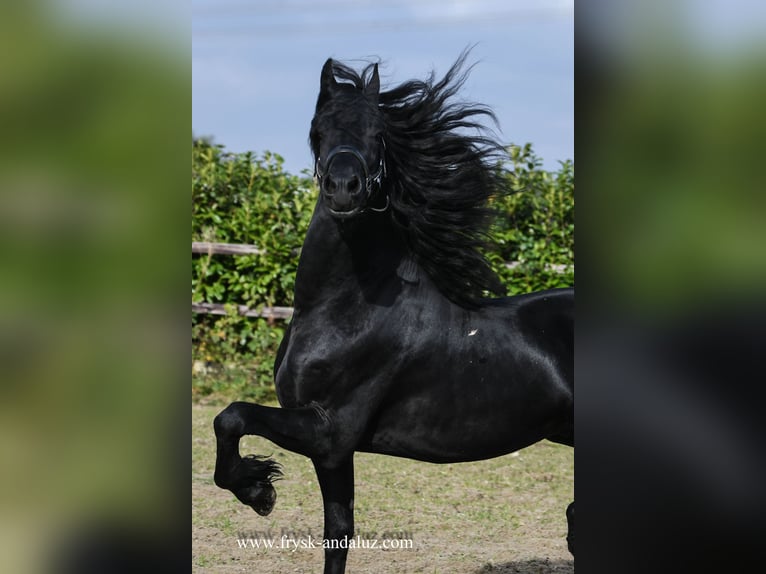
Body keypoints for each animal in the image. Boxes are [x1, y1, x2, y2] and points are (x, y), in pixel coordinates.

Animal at [213, 51, 572, 572]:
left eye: (378, 133)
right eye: (317, 128)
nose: (345, 188)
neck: (347, 311)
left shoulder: (330, 431)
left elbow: (232, 416)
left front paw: (258, 489)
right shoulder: (333, 453)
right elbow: (339, 532)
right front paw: (259, 487)